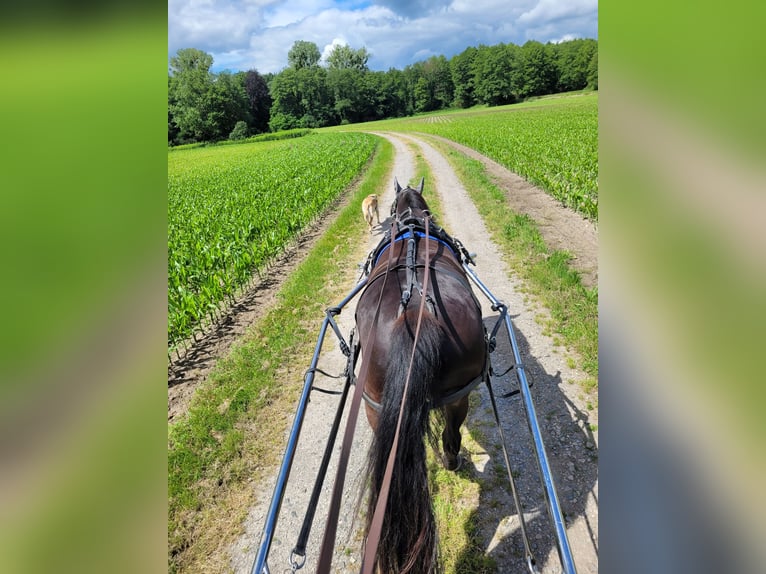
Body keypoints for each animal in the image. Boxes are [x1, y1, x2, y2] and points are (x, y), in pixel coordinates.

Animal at [354, 178, 486, 574]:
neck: (413, 224)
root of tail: (415, 314)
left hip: (377, 405)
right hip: (456, 393)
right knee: (451, 432)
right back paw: (452, 461)